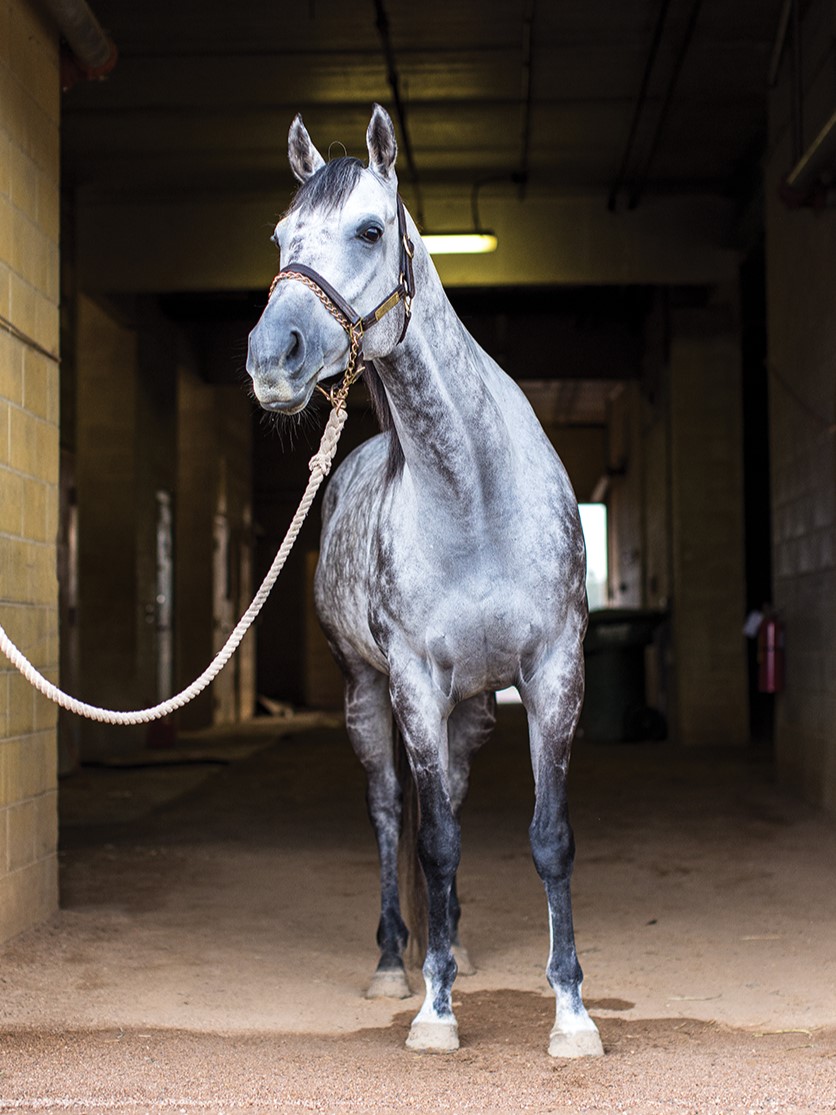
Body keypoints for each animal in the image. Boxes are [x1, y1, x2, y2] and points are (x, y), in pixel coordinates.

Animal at [246, 104, 603, 1060]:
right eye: (282, 237)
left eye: (371, 230)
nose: (271, 357)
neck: (472, 494)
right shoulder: (410, 679)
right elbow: (432, 838)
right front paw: (435, 1010)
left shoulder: (552, 672)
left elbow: (549, 837)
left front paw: (572, 1012)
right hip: (370, 696)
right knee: (387, 814)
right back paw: (396, 960)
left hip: (470, 710)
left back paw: (459, 944)